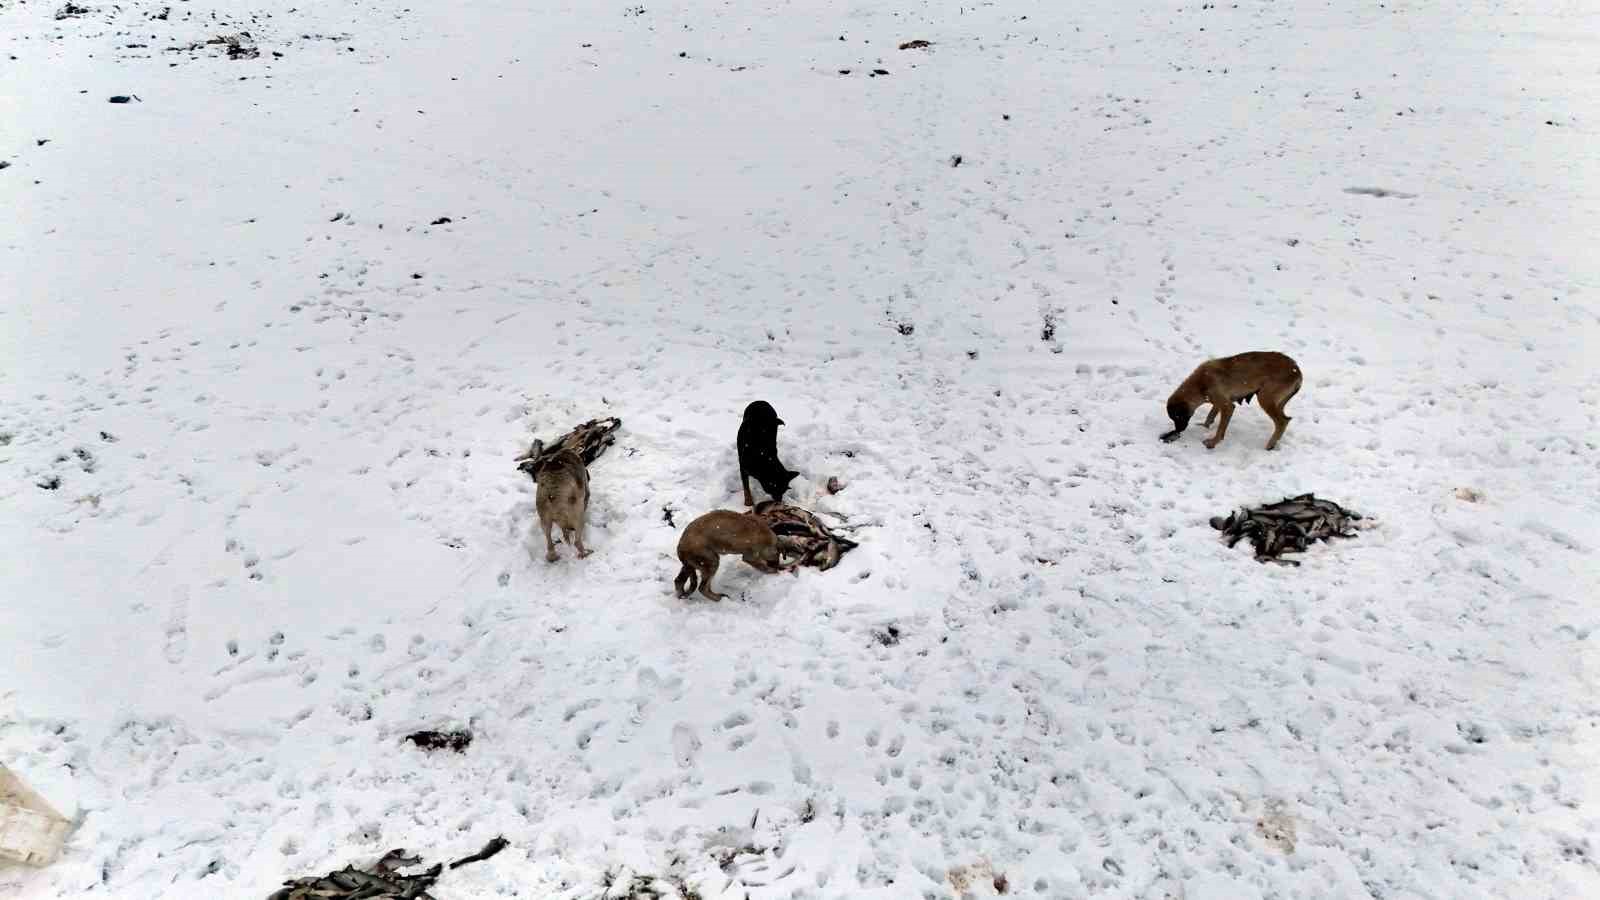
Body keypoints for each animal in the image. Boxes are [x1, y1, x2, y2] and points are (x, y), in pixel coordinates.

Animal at [1164, 349, 1299, 448]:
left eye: (1177, 417)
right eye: (1174, 418)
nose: (1178, 430)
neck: (1199, 384)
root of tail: (1297, 371)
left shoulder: (1227, 406)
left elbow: (1220, 428)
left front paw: (1213, 442)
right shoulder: (1218, 401)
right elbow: (1211, 414)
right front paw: (1205, 427)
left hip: (1265, 398)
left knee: (1282, 422)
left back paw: (1270, 445)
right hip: (1277, 403)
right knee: (1286, 419)